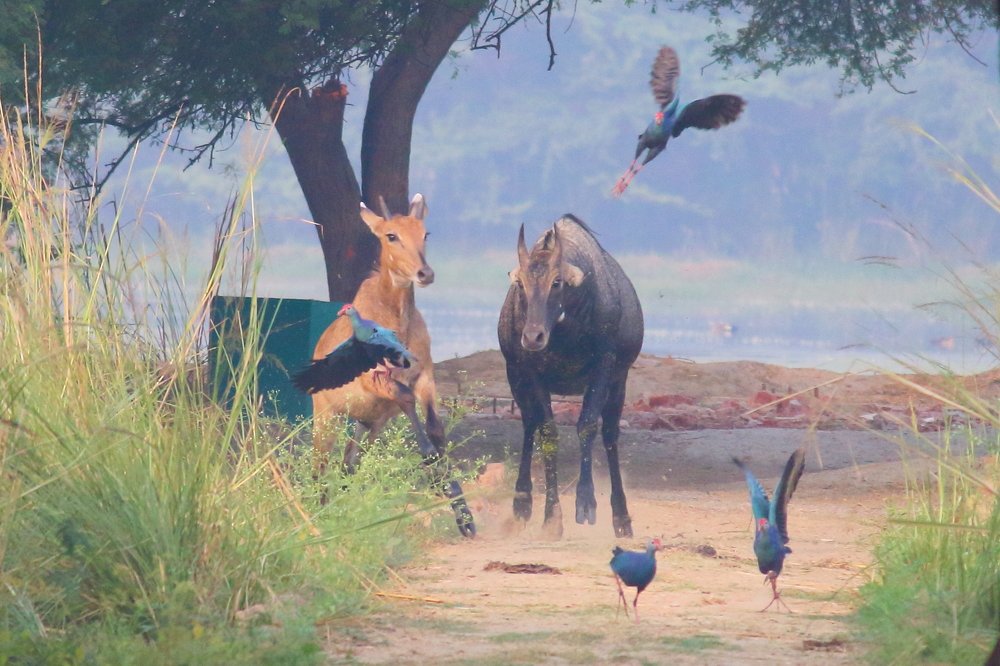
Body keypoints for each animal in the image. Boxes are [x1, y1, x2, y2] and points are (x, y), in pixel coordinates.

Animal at [310, 194, 475, 537]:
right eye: (391, 235)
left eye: (425, 233)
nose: (425, 274)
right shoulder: (376, 379)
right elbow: (407, 399)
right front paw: (431, 467)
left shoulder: (425, 374)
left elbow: (435, 426)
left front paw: (464, 516)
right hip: (327, 417)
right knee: (320, 466)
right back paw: (320, 517)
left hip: (368, 423)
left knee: (349, 464)